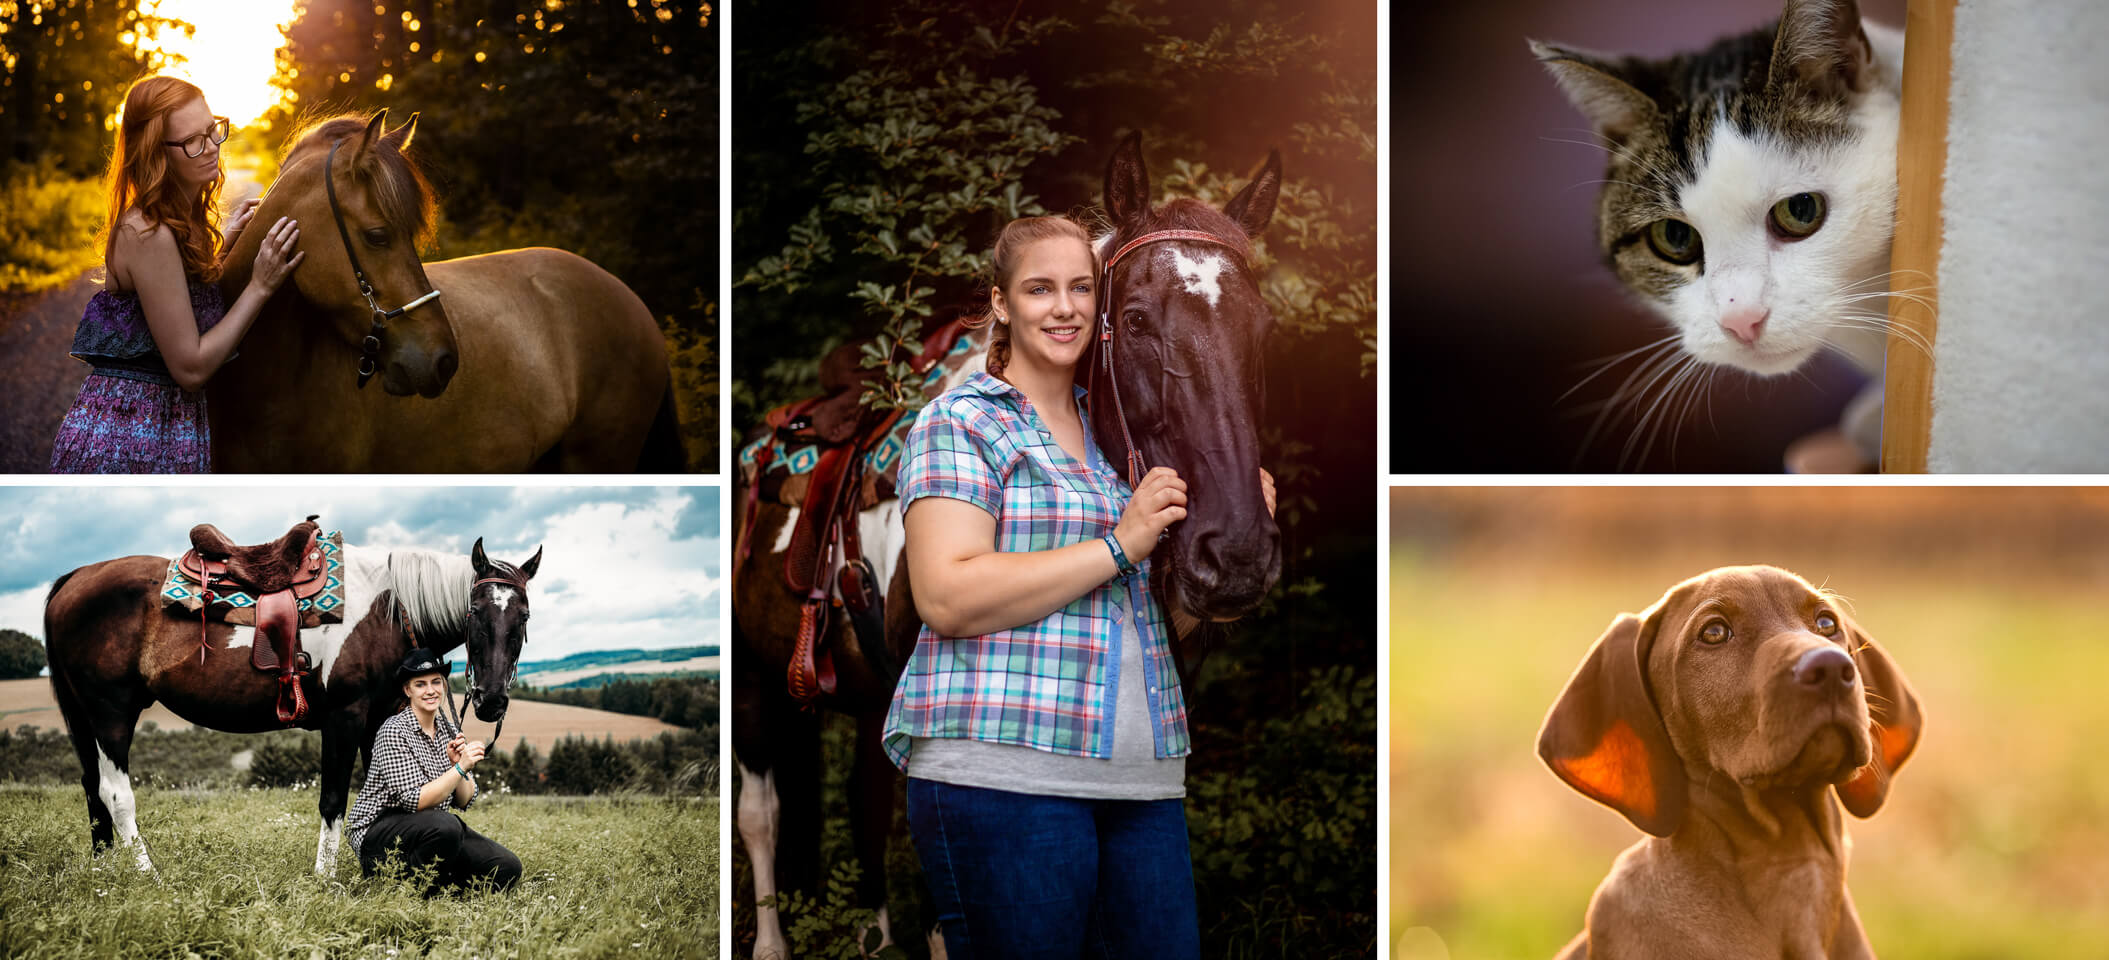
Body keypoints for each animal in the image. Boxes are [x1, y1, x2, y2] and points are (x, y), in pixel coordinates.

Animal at [44, 533, 539, 877]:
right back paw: (146, 873)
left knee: (91, 787)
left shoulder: (378, 720)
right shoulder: (345, 716)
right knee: (115, 793)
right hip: (111, 713)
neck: (388, 612)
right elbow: (334, 799)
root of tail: (74, 579)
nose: (492, 700)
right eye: (475, 611)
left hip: (84, 717)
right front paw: (325, 877)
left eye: (524, 617)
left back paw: (105, 871)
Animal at [725, 131, 1282, 957]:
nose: (1237, 554)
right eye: (1136, 320)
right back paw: (769, 942)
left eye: (1263, 332)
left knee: (863, 802)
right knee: (760, 815)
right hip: (757, 681)